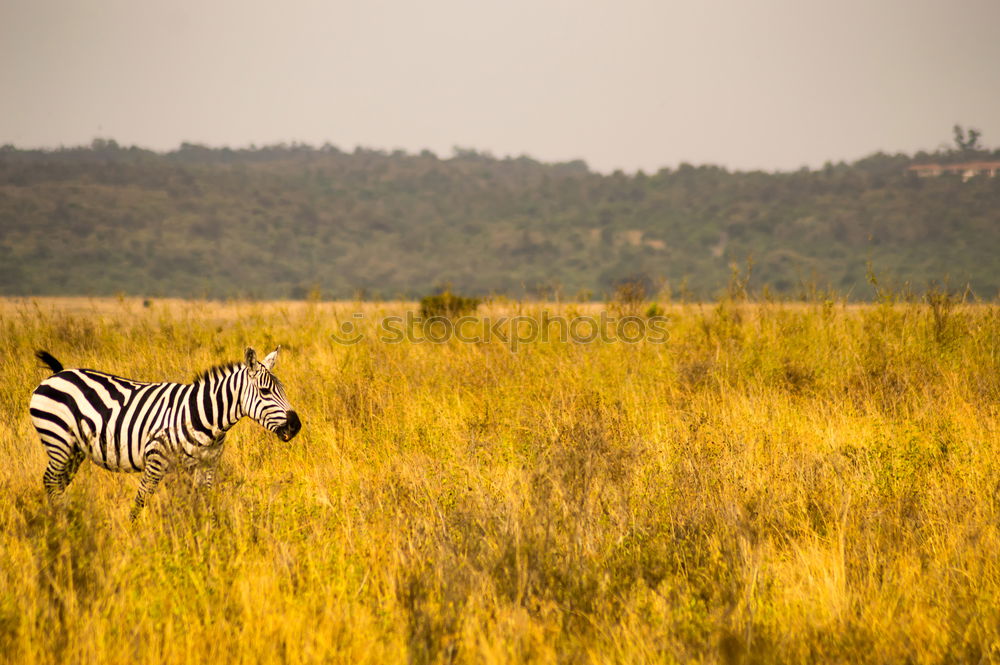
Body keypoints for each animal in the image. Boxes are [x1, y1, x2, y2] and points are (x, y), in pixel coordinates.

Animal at [29, 348, 298, 520]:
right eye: (265, 391)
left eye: (283, 389)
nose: (296, 426)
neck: (203, 416)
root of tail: (58, 374)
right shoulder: (155, 458)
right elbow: (140, 500)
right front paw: (132, 533)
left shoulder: (207, 465)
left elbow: (206, 503)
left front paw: (209, 537)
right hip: (58, 441)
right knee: (50, 480)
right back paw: (63, 522)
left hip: (74, 450)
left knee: (58, 483)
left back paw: (64, 517)